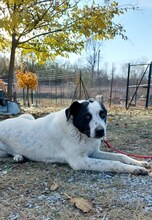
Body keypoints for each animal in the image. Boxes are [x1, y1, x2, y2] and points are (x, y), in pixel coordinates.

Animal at [0, 100, 150, 174]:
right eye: (87, 116)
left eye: (103, 114)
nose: (101, 131)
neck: (80, 133)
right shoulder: (79, 161)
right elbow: (114, 163)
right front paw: (135, 170)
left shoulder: (94, 152)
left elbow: (120, 156)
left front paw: (139, 163)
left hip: (28, 116)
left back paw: (19, 156)